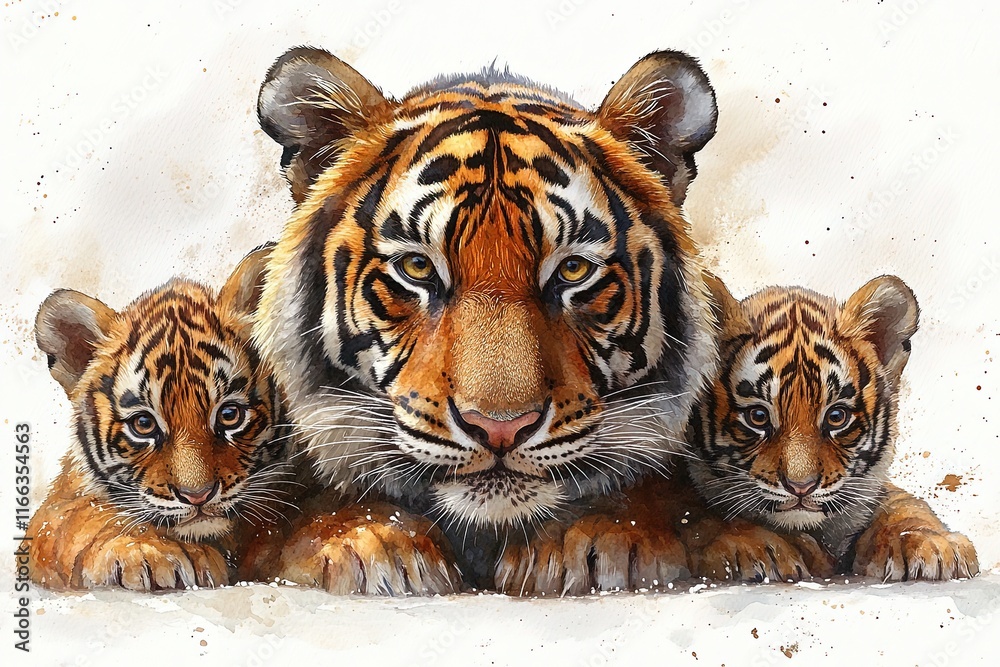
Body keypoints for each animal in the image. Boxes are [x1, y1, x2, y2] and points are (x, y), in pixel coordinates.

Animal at [27, 246, 291, 591]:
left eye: (229, 415)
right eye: (144, 424)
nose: (197, 496)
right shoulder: (55, 511)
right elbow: (84, 517)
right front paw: (155, 551)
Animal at [683, 274, 979, 582]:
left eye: (836, 416)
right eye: (758, 416)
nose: (801, 487)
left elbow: (901, 502)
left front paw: (932, 542)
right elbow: (695, 511)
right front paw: (758, 549)